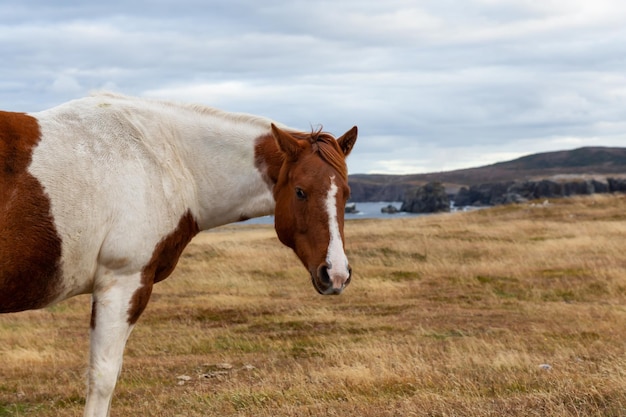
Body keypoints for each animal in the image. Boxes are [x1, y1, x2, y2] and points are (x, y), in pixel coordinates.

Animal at [0, 92, 358, 416]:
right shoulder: (122, 284)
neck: (158, 157)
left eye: (346, 193)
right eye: (300, 192)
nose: (336, 273)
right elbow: (103, 378)